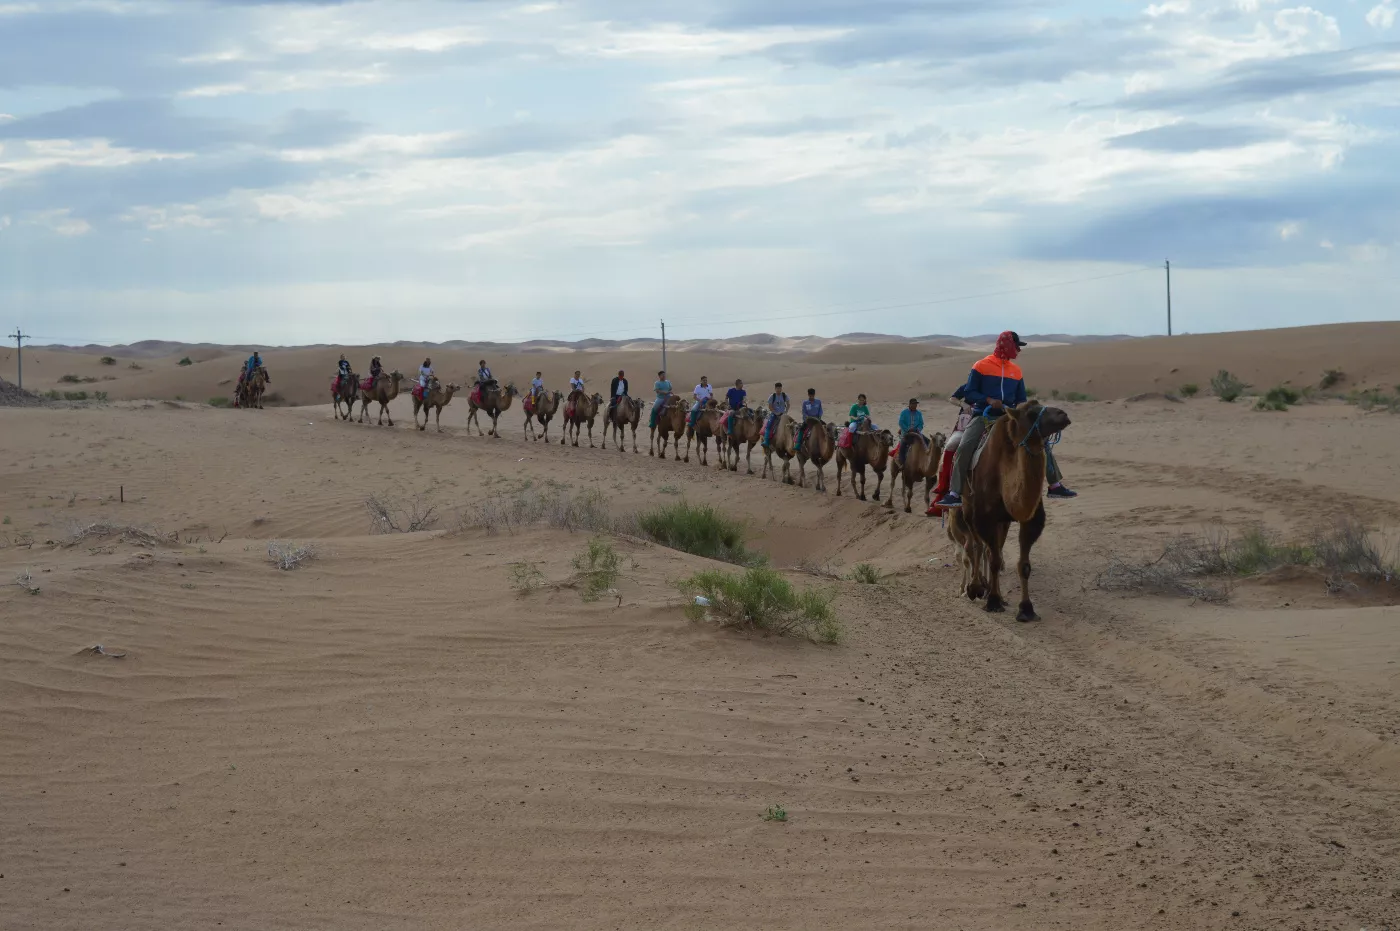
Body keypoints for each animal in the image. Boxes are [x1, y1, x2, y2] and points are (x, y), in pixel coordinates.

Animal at [952, 401, 1072, 621]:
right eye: (1032, 413)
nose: (1063, 414)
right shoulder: (985, 518)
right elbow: (993, 559)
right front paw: (992, 601)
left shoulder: (1030, 519)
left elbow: (1023, 564)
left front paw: (1026, 609)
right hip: (967, 507)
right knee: (976, 546)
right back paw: (976, 588)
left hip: (1003, 521)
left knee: (992, 547)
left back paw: (992, 590)